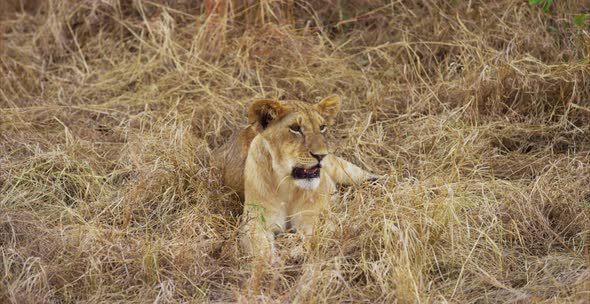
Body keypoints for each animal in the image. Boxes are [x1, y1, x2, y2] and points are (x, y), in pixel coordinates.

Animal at [217, 95, 380, 262]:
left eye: (322, 127)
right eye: (295, 128)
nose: (321, 155)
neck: (288, 184)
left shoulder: (314, 219)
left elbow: (312, 240)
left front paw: (294, 253)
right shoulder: (255, 222)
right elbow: (260, 248)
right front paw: (271, 262)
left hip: (342, 169)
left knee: (368, 176)